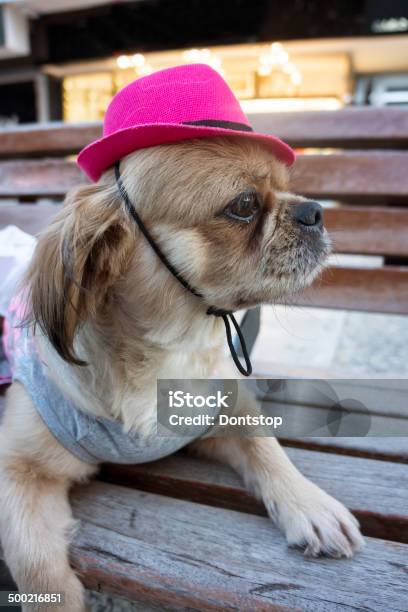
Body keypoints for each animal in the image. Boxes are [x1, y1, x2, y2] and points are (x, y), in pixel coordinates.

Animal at [0, 64, 364, 608]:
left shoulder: (227, 405)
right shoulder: (18, 469)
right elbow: (40, 571)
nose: (315, 210)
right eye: (244, 205)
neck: (167, 351)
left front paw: (309, 503)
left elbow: (266, 447)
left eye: (290, 188)